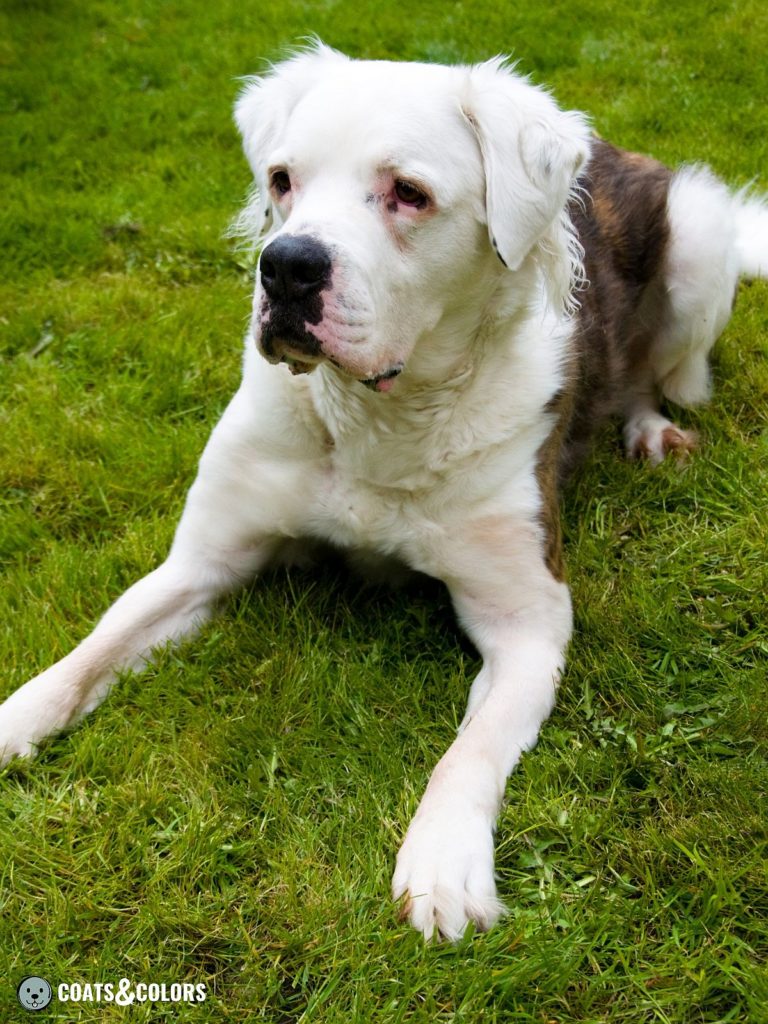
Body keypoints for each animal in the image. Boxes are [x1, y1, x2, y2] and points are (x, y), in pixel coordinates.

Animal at [1, 46, 768, 942]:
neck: (379, 415)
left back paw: (650, 431)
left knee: (656, 374)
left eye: (409, 192)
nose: (287, 266)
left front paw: (443, 862)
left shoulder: (529, 623)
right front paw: (17, 719)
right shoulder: (199, 565)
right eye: (283, 179)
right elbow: (87, 654)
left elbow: (469, 752)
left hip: (700, 241)